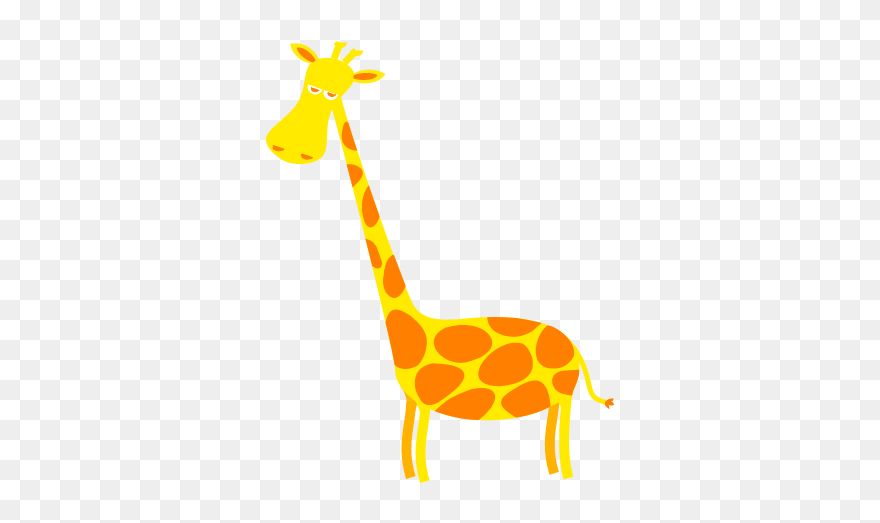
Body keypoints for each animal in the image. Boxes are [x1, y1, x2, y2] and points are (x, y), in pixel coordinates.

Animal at [267, 42, 614, 482]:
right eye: (308, 81)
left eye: (330, 92)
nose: (288, 147)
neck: (411, 329)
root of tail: (578, 353)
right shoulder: (414, 402)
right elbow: (407, 456)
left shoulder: (428, 403)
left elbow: (418, 456)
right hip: (554, 400)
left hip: (562, 398)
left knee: (562, 444)